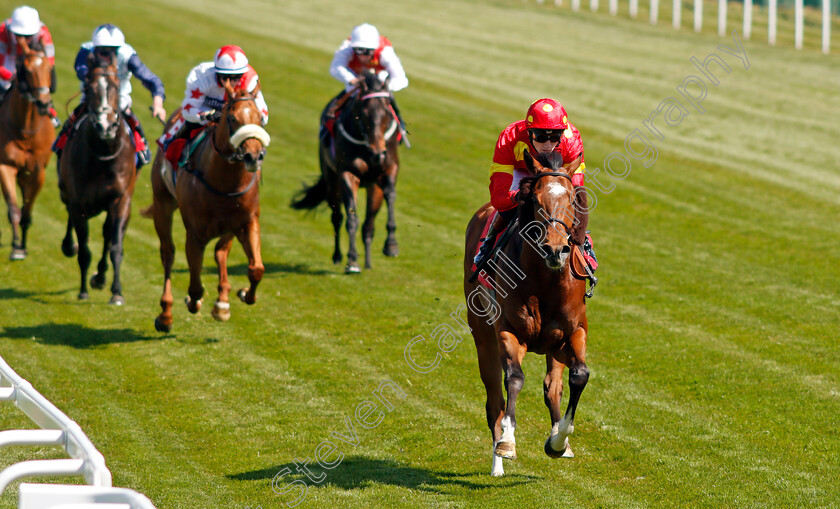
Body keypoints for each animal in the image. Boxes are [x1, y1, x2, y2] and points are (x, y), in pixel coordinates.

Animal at [58, 59, 136, 306]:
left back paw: (101, 277)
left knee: (107, 233)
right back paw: (69, 246)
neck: (103, 155)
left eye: (115, 86)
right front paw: (83, 291)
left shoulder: (120, 201)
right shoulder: (78, 203)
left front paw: (116, 292)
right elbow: (84, 251)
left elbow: (115, 246)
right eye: (90, 88)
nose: (105, 127)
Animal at [148, 81, 270, 332]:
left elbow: (257, 269)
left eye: (260, 118)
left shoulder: (247, 221)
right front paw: (192, 301)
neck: (223, 181)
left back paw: (222, 302)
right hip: (162, 203)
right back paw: (166, 314)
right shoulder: (195, 234)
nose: (254, 157)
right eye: (232, 118)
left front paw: (244, 294)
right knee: (168, 253)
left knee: (221, 252)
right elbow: (195, 285)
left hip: (229, 229)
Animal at [292, 70, 400, 274]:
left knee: (369, 225)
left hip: (373, 187)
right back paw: (338, 256)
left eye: (387, 113)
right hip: (332, 180)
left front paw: (391, 245)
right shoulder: (347, 174)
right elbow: (351, 218)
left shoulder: (388, 169)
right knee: (337, 218)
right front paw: (352, 261)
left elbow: (390, 195)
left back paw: (368, 262)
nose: (377, 153)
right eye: (363, 114)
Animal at [460, 149, 592, 474]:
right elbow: (515, 378)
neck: (546, 281)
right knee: (494, 399)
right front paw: (507, 442)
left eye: (572, 199)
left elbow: (578, 376)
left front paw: (559, 440)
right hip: (482, 334)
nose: (555, 249)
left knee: (553, 385)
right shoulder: (508, 330)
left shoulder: (573, 332)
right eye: (536, 200)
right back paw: (497, 462)